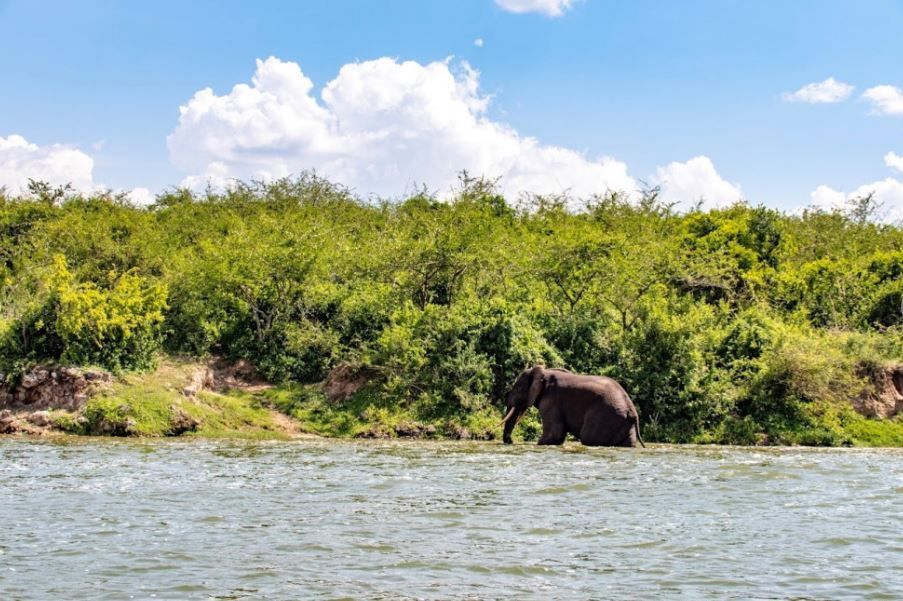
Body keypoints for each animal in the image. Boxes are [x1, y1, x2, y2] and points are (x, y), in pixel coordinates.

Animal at [499, 366, 645, 447]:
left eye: (518, 389)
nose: (510, 441)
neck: (545, 371)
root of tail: (631, 410)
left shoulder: (551, 400)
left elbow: (555, 433)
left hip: (605, 417)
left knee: (588, 438)